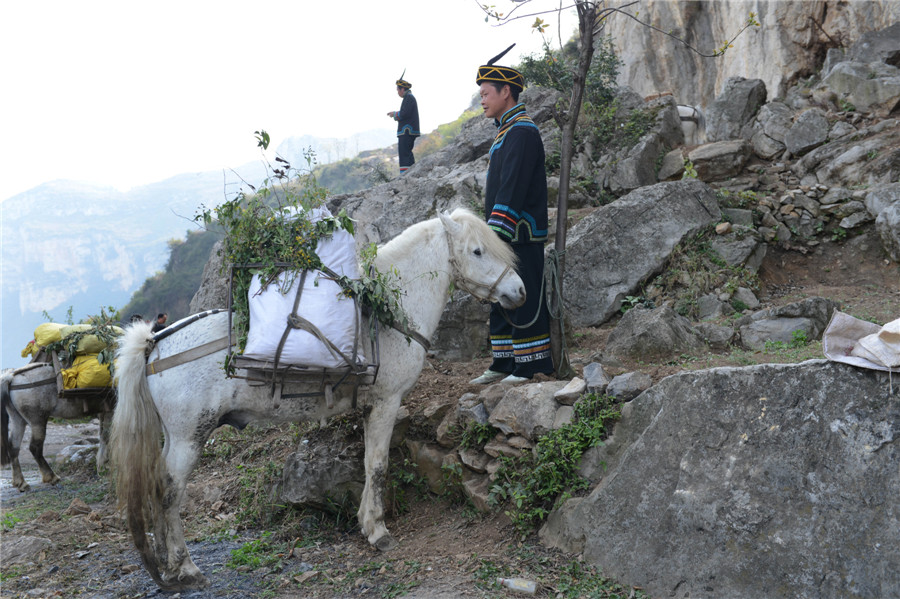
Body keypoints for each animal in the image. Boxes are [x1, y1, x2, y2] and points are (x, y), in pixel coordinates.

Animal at [110, 210, 528, 592]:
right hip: (188, 437)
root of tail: (154, 343)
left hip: (174, 436)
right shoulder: (386, 402)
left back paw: (166, 565)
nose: (521, 292)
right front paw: (378, 531)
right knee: (170, 492)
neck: (387, 314)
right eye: (477, 250)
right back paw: (185, 567)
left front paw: (366, 523)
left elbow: (369, 464)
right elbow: (378, 465)